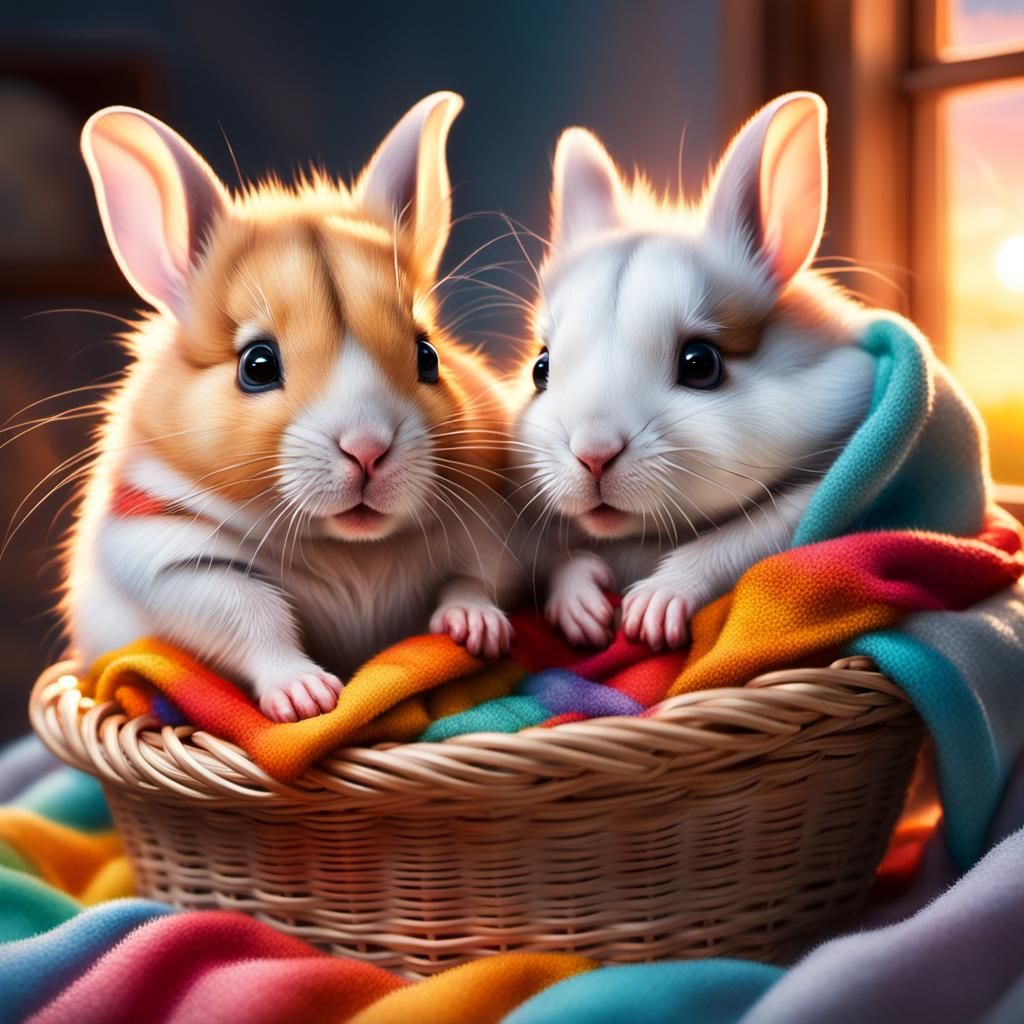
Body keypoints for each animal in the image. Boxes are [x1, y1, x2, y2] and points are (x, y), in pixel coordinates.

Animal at [63, 92, 515, 722]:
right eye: (257, 365)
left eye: (427, 355)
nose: (368, 449)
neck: (349, 550)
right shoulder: (175, 561)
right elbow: (255, 619)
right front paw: (307, 698)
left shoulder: (487, 526)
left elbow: (473, 579)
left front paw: (479, 631)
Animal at [514, 92, 882, 651]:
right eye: (540, 368)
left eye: (700, 363)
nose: (593, 454)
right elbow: (563, 558)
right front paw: (580, 608)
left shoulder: (819, 492)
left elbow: (729, 543)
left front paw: (652, 608)